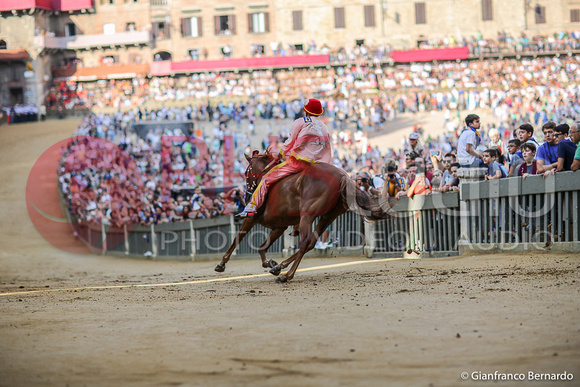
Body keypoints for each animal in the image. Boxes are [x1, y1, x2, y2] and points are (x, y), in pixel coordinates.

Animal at [215, 151, 392, 282]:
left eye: (246, 171)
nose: (247, 194)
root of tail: (343, 176)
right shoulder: (280, 226)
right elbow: (262, 246)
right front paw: (270, 263)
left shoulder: (252, 217)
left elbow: (238, 238)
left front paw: (221, 263)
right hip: (329, 215)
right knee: (311, 242)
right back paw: (279, 267)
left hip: (307, 213)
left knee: (306, 241)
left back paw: (287, 276)